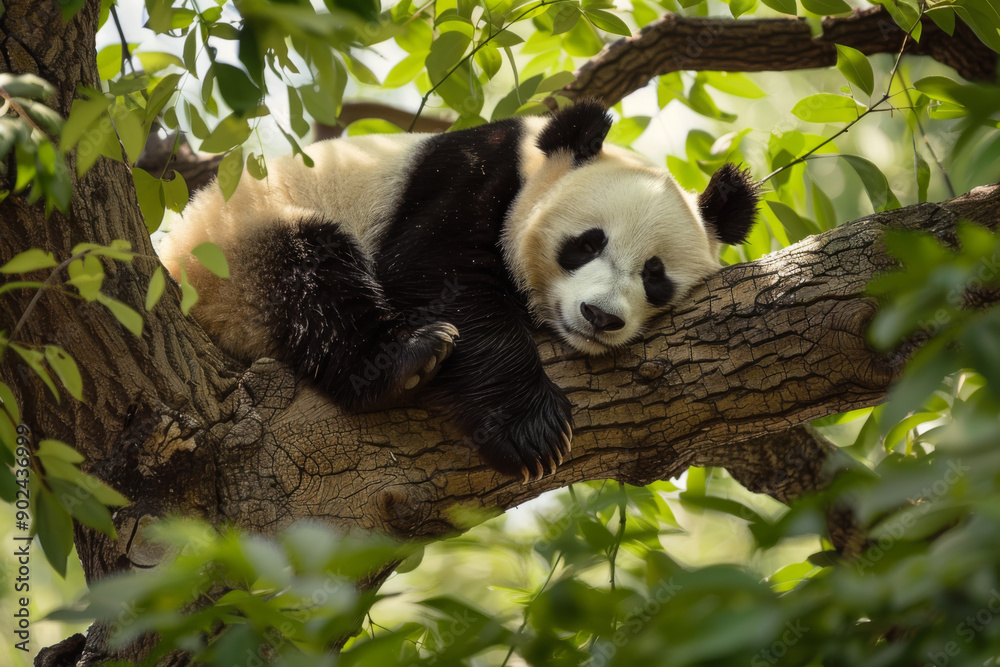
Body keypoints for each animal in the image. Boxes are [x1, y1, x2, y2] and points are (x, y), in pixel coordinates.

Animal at [159, 101, 759, 482]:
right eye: (586, 243)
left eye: (654, 275)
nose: (599, 316)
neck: (533, 165)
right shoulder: (469, 179)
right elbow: (438, 275)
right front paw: (532, 432)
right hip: (235, 251)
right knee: (309, 275)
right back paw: (407, 361)